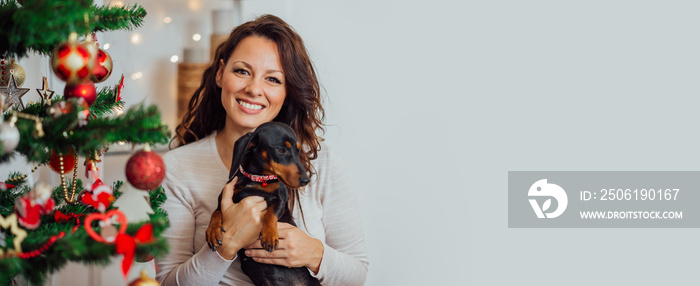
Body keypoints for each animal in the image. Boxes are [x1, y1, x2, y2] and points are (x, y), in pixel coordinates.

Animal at [205, 122, 320, 286]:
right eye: (280, 149)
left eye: (298, 150)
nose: (306, 180)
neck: (257, 180)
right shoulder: (224, 199)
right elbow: (215, 213)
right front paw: (213, 232)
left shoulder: (279, 200)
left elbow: (270, 215)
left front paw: (270, 235)